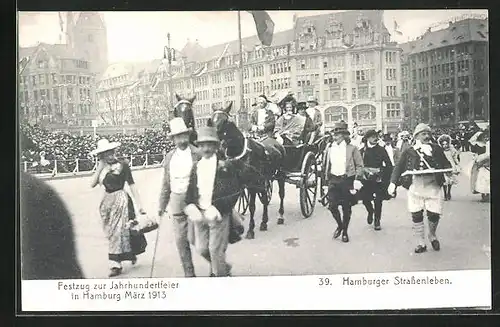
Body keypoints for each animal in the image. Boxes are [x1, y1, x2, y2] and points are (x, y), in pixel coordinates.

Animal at [207, 101, 286, 240]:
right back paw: (264, 222)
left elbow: (252, 206)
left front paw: (250, 230)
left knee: (281, 194)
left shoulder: (251, 185)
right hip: (263, 179)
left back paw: (280, 216)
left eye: (225, 121)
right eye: (212, 119)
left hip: (279, 175)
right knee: (264, 197)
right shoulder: (239, 184)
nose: (215, 144)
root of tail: (277, 143)